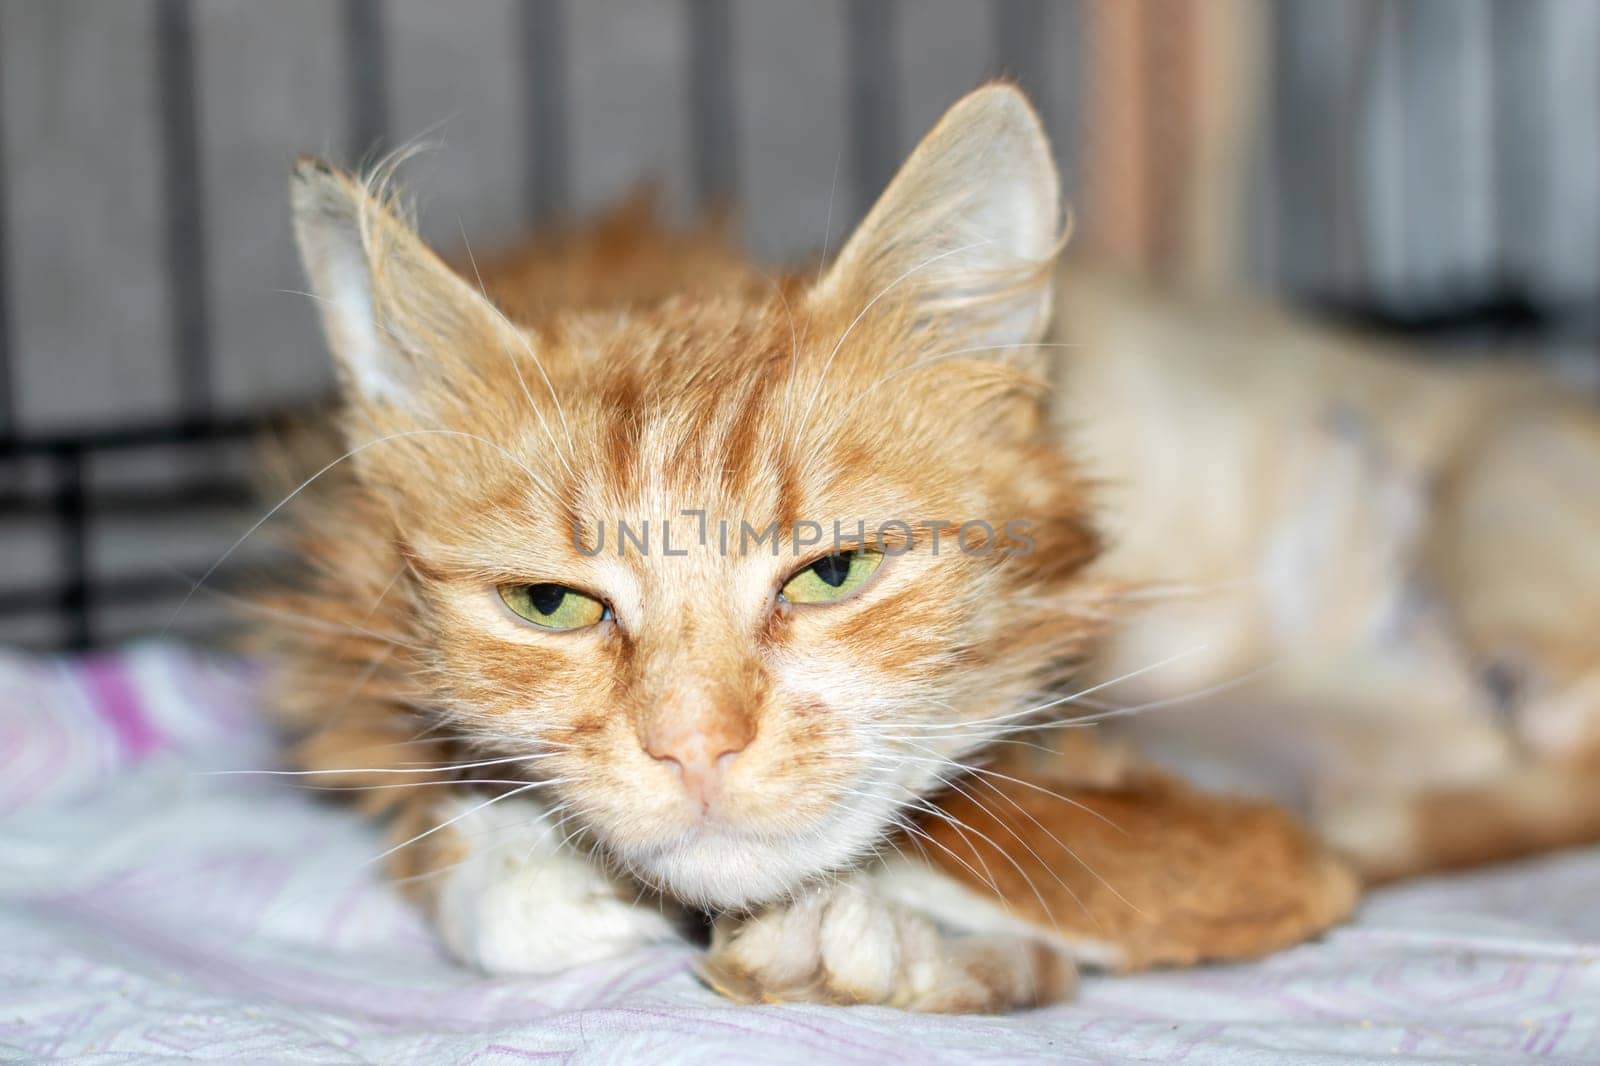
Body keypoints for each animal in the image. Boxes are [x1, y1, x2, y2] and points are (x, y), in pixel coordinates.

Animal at [262, 87, 1363, 1011]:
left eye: (834, 573)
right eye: (550, 604)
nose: (693, 746)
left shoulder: (1261, 848)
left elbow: (1019, 851)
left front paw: (893, 944)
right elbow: (477, 875)